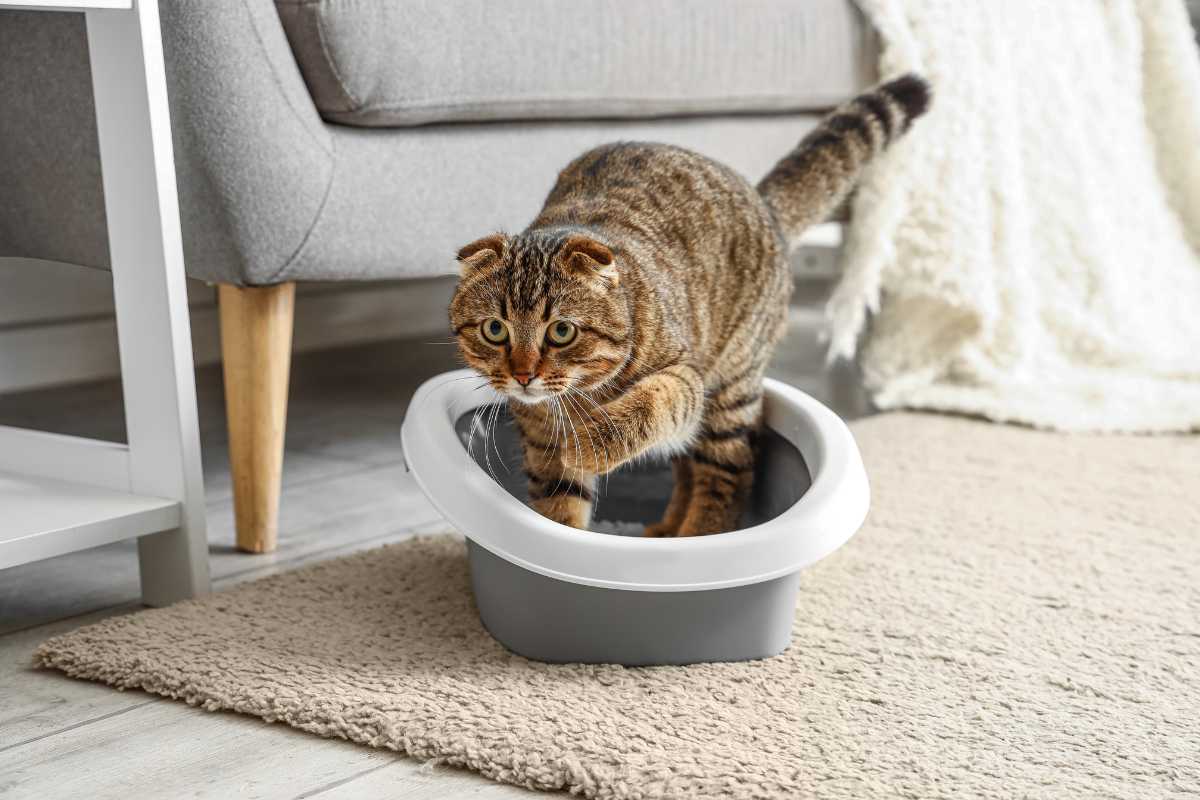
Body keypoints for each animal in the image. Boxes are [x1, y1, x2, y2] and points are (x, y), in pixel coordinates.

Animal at [451, 74, 926, 537]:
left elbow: (650, 403)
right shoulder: (543, 449)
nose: (523, 375)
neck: (579, 396)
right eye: (495, 329)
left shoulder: (686, 378)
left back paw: (699, 533)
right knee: (686, 467)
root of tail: (762, 201)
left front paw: (592, 441)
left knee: (727, 472)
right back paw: (668, 529)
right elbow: (558, 516)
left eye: (561, 331)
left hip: (729, 389)